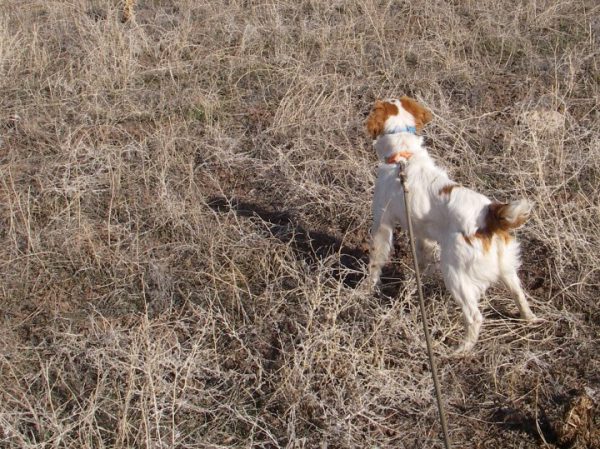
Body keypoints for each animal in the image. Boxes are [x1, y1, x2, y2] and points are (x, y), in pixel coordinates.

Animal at [366, 96, 540, 352]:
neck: (404, 156)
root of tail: (489, 215)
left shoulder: (382, 222)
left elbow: (375, 263)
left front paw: (364, 292)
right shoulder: (424, 237)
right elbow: (421, 263)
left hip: (455, 274)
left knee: (475, 316)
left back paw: (461, 350)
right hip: (507, 269)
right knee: (519, 294)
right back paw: (530, 319)